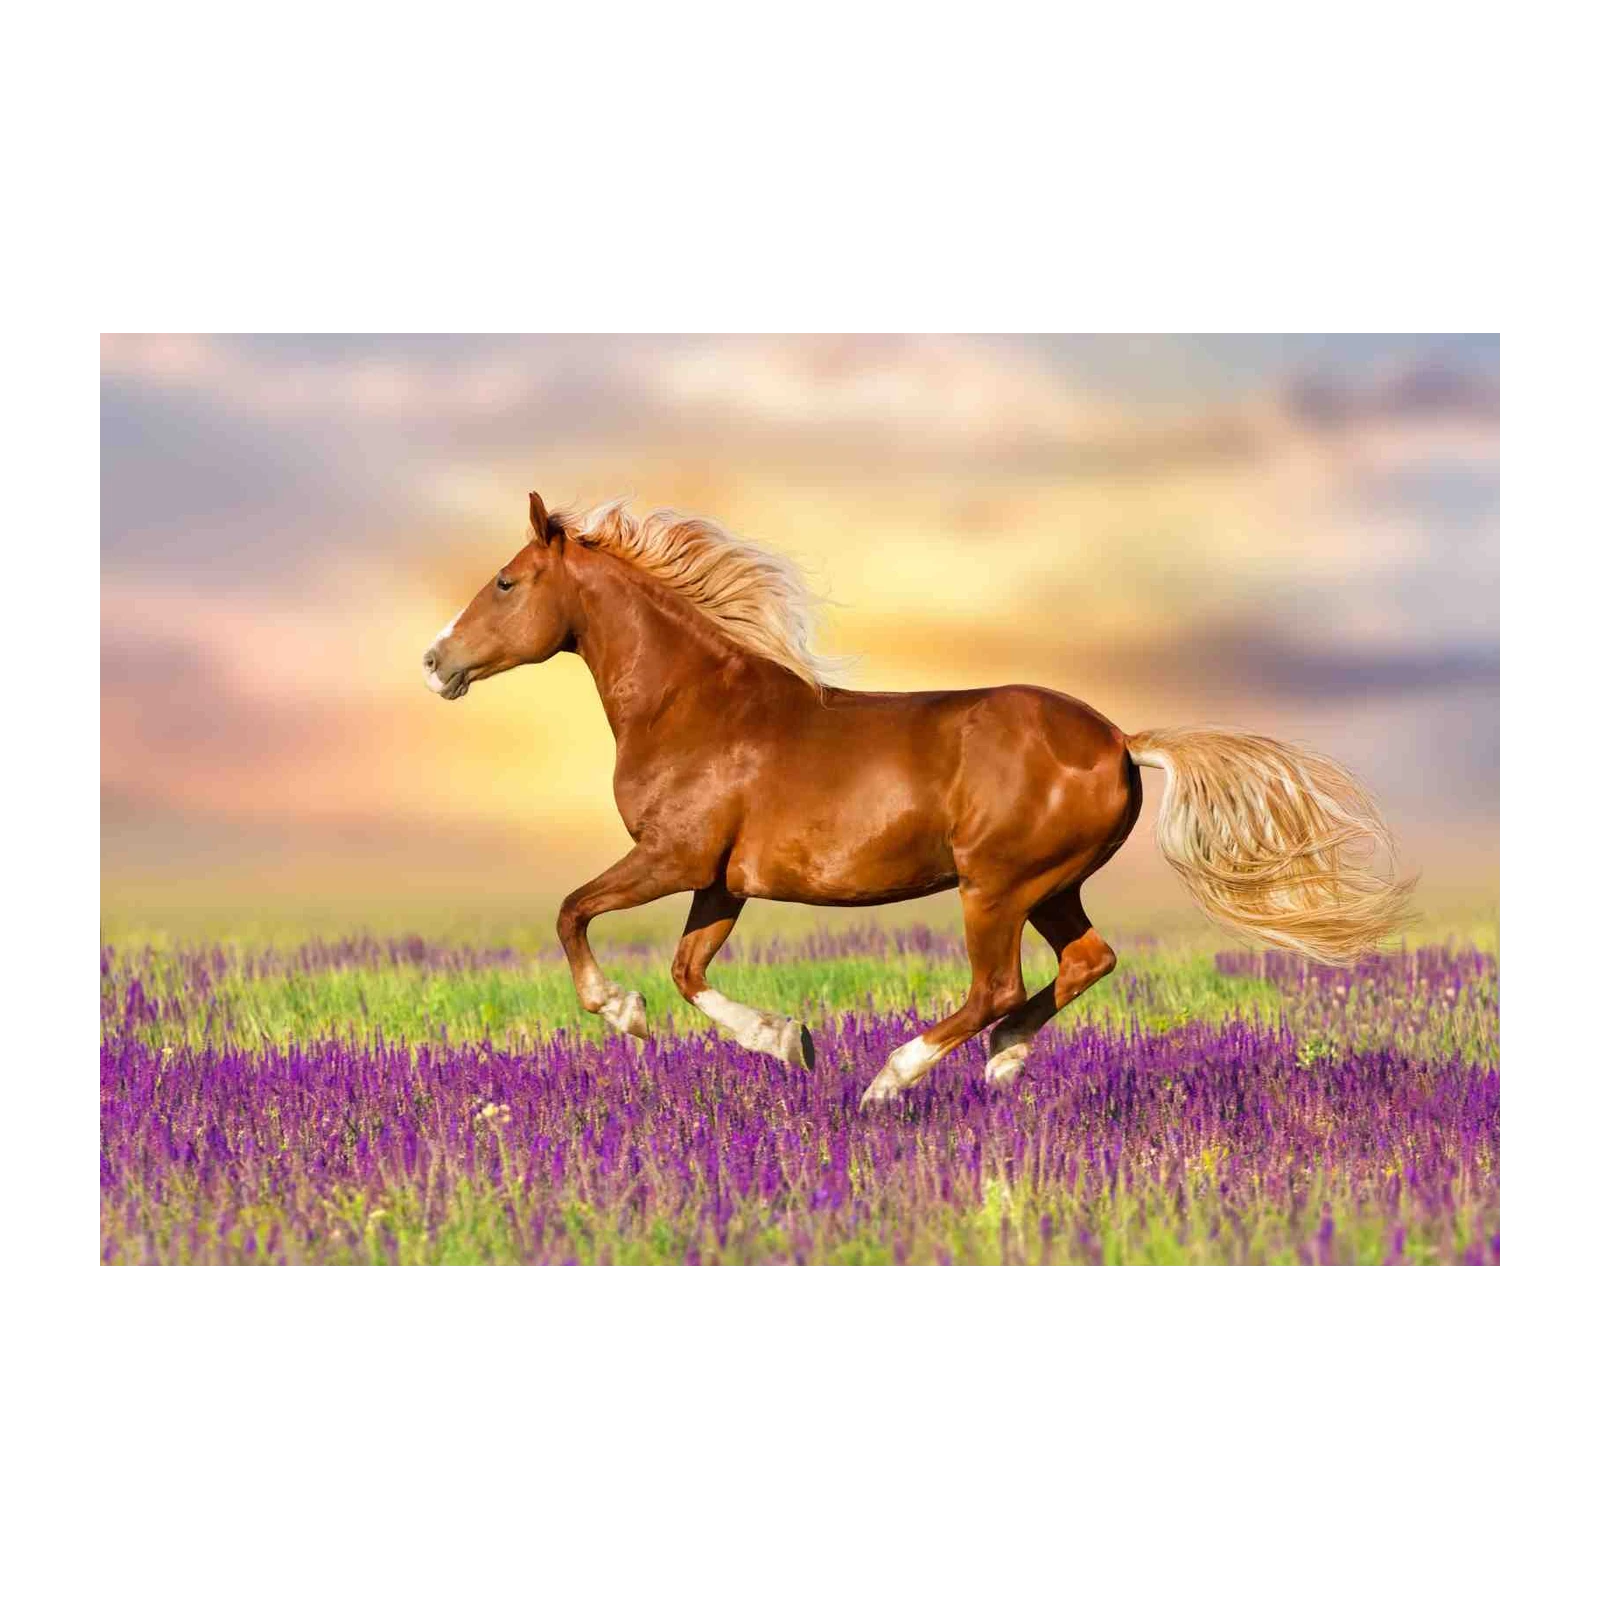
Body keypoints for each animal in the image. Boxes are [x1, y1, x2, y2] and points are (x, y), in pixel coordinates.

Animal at [424, 493, 1415, 1109]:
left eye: (507, 580)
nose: (437, 662)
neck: (695, 705)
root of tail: (1119, 740)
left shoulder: (672, 857)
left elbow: (573, 913)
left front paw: (621, 1014)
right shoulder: (722, 880)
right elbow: (687, 971)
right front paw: (788, 1040)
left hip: (996, 887)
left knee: (995, 985)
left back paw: (893, 1078)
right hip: (1052, 885)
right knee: (1086, 961)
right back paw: (1005, 1060)